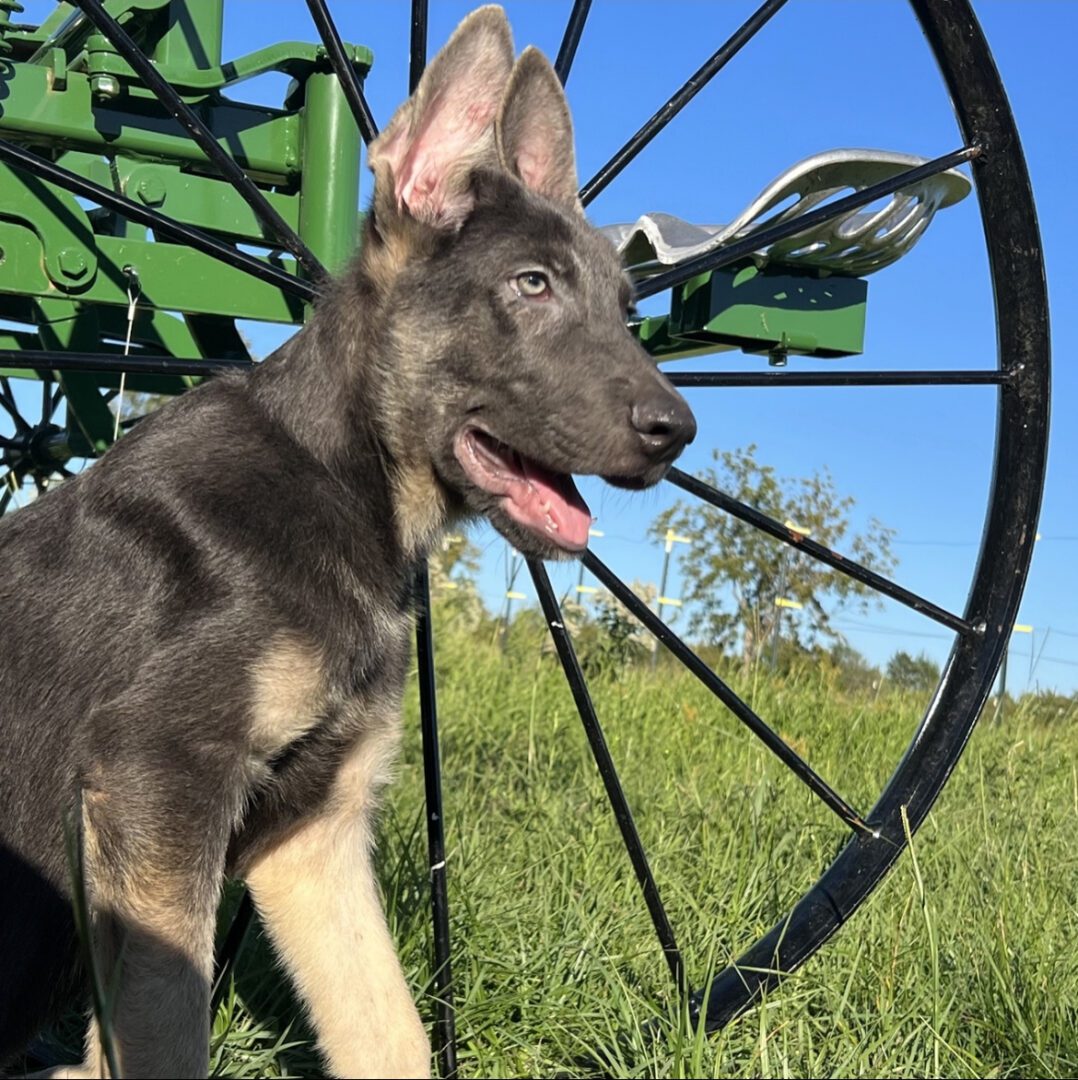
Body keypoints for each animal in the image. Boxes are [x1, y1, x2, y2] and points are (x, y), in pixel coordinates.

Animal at [0, 6, 695, 1071]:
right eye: (531, 285)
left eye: (627, 310)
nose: (677, 431)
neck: (341, 483)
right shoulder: (160, 779)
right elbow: (168, 1033)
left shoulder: (315, 837)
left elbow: (392, 1036)